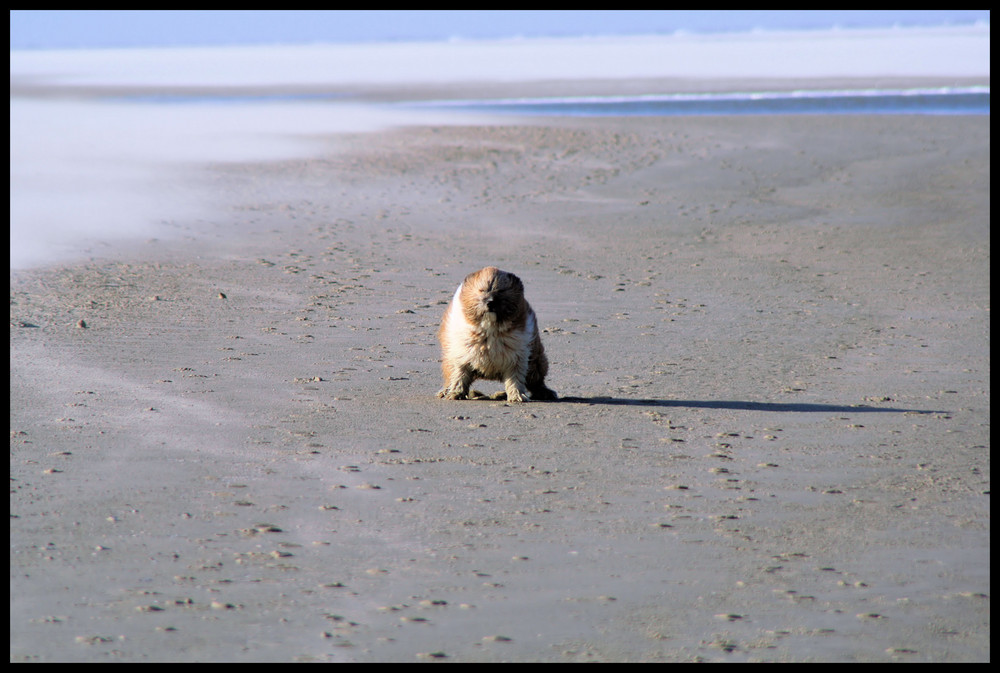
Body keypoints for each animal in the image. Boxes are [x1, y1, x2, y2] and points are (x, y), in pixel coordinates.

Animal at [438, 266, 560, 404]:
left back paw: (544, 392)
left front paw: (516, 395)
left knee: (536, 380)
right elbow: (460, 374)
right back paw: (445, 391)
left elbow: (515, 377)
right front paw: (455, 392)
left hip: (536, 359)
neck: (490, 329)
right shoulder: (461, 353)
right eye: (482, 290)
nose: (490, 302)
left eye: (501, 291)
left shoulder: (517, 355)